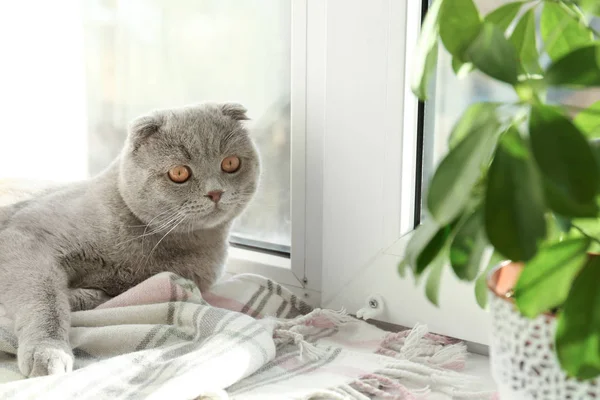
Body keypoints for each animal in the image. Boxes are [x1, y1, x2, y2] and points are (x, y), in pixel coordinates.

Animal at [0, 101, 258, 376]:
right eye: (179, 173)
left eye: (230, 163)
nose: (216, 192)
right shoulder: (27, 239)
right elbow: (46, 296)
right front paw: (48, 351)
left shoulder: (136, 285)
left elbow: (99, 296)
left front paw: (75, 297)